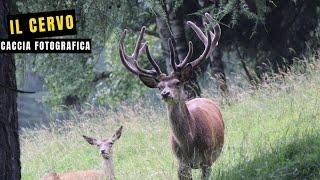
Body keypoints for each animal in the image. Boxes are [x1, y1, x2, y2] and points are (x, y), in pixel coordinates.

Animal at [120, 13, 225, 179]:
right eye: (159, 87)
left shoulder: (207, 159)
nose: (165, 94)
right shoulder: (181, 163)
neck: (190, 144)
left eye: (177, 82)